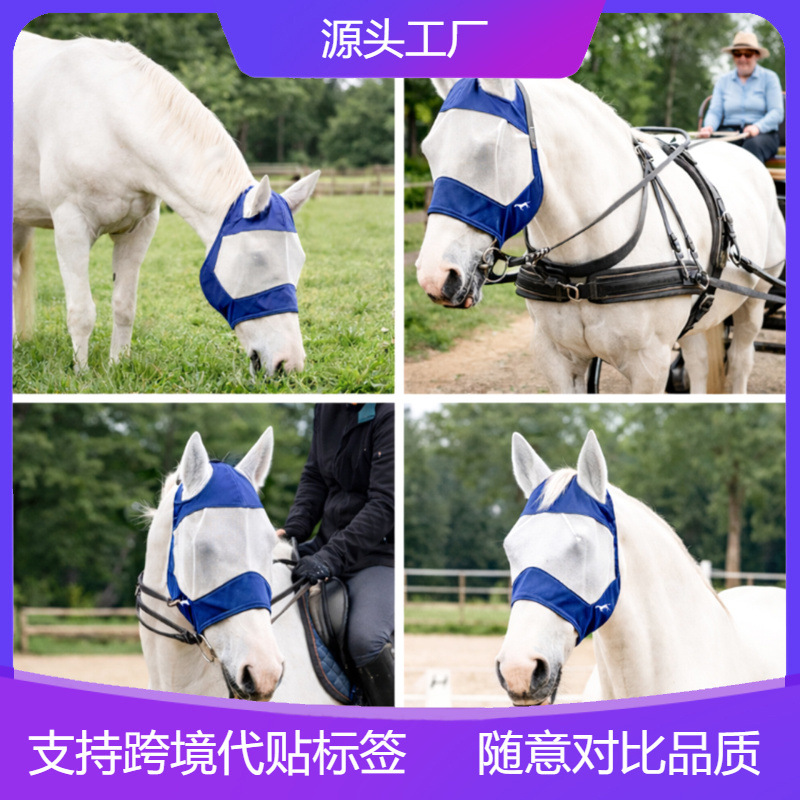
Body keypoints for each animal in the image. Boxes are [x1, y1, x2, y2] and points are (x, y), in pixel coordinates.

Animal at [13, 32, 319, 375]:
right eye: (258, 259)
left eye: (299, 261)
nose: (289, 364)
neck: (107, 118)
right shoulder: (71, 227)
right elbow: (81, 312)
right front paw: (81, 375)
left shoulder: (139, 230)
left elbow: (124, 306)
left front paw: (118, 366)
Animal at [416, 78, 786, 393]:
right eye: (428, 151)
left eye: (488, 149)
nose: (435, 275)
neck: (581, 270)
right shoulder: (556, 359)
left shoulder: (650, 366)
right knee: (698, 363)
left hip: (754, 300)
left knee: (740, 361)